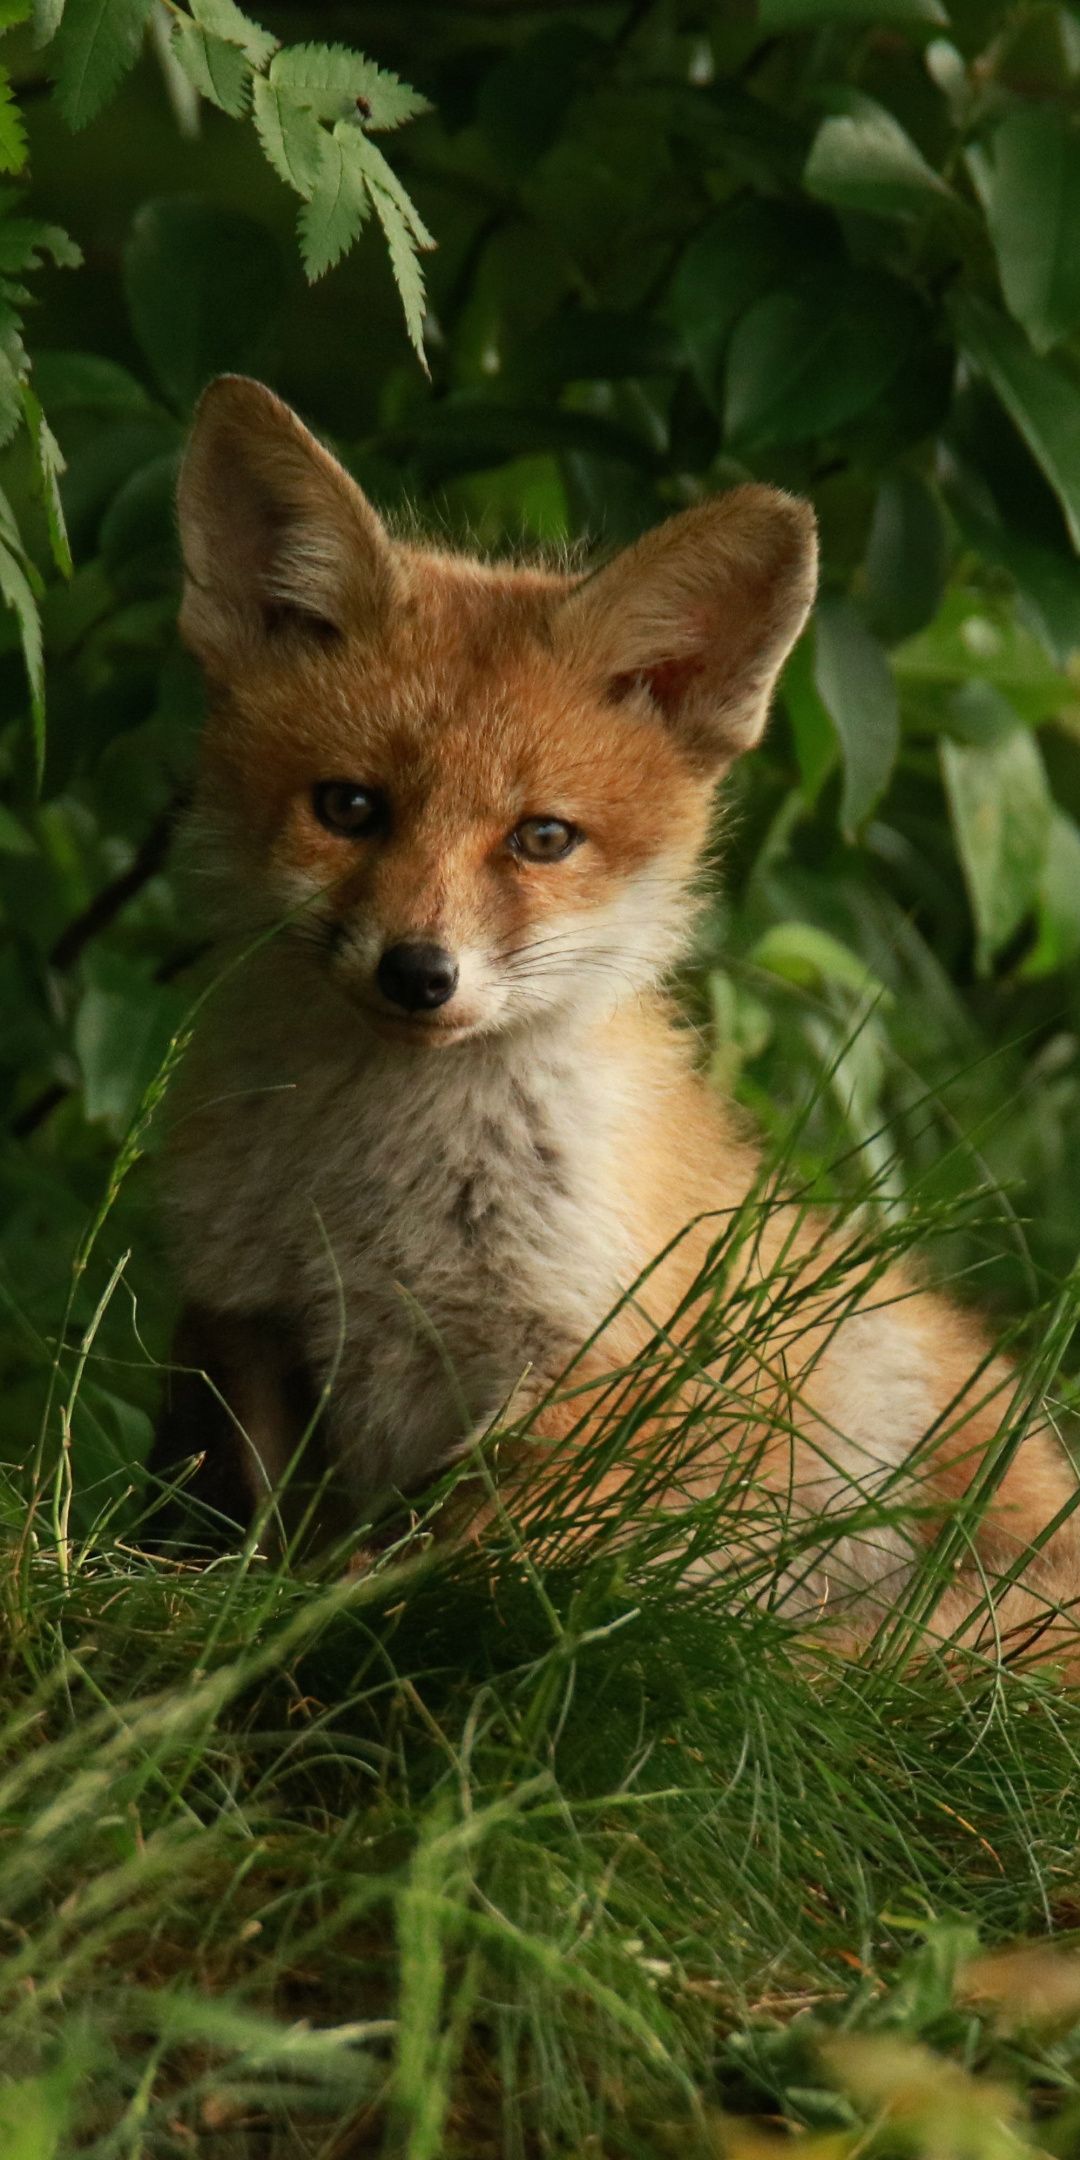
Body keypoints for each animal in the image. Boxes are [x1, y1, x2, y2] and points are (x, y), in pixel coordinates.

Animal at [151, 373, 1080, 1660]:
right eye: (349, 808)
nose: (418, 973)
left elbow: (472, 1570)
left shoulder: (591, 1367)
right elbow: (263, 1534)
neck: (381, 1198)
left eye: (543, 837)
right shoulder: (251, 1314)